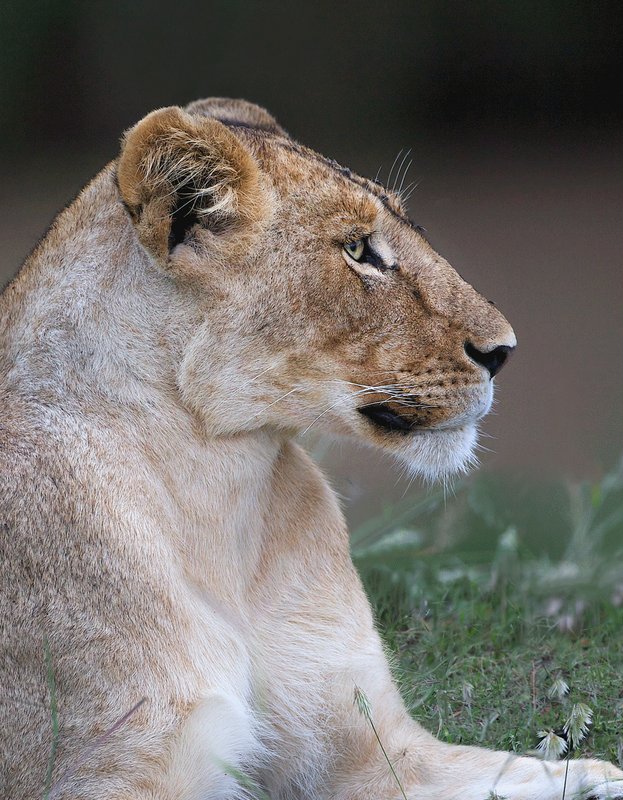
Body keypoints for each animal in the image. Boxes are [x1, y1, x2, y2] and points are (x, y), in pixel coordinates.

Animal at [0, 98, 620, 800]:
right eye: (358, 250)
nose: (504, 351)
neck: (224, 491)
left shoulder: (375, 750)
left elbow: (537, 772)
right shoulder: (110, 770)